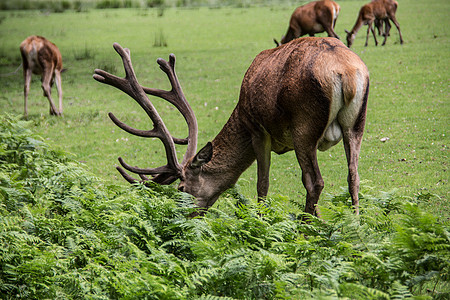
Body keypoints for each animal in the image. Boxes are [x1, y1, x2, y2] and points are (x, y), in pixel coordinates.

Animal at [94, 37, 370, 216]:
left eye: (182, 187)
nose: (182, 216)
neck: (240, 114)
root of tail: (346, 71)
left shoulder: (258, 129)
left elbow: (262, 184)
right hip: (357, 124)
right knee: (353, 176)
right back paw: (355, 226)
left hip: (304, 125)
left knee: (315, 181)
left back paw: (306, 226)